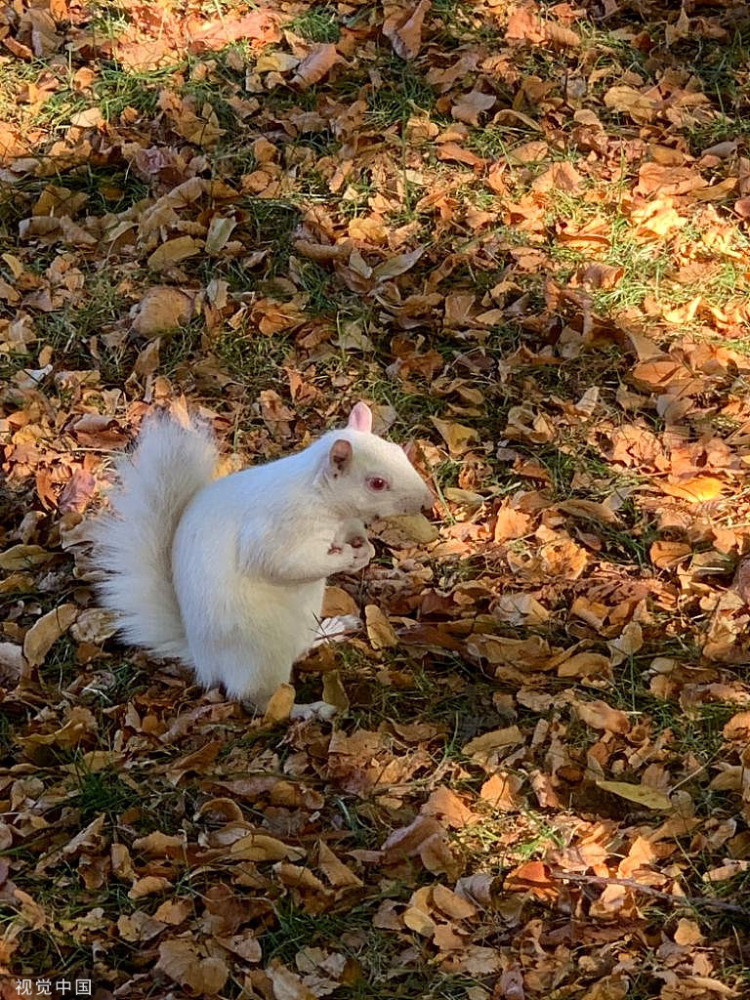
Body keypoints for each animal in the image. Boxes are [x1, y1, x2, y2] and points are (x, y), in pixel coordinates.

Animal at [92, 402, 434, 716]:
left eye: (399, 453)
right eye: (376, 483)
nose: (427, 502)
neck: (322, 499)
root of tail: (206, 661)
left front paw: (366, 549)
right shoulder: (278, 529)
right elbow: (287, 564)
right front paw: (350, 557)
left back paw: (333, 629)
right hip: (261, 655)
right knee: (260, 699)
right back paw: (307, 710)